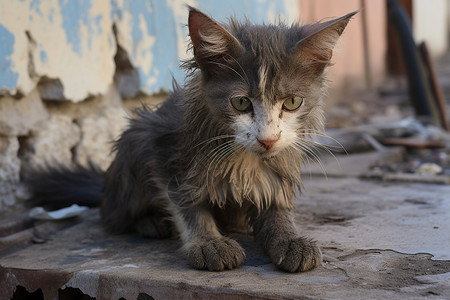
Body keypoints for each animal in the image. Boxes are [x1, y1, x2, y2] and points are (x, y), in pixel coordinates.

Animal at [29, 8, 356, 274]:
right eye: (240, 103)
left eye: (292, 102)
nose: (267, 140)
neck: (245, 158)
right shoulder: (161, 143)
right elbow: (186, 202)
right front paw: (207, 242)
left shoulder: (281, 163)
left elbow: (277, 207)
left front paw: (289, 239)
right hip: (134, 139)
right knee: (111, 216)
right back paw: (150, 222)